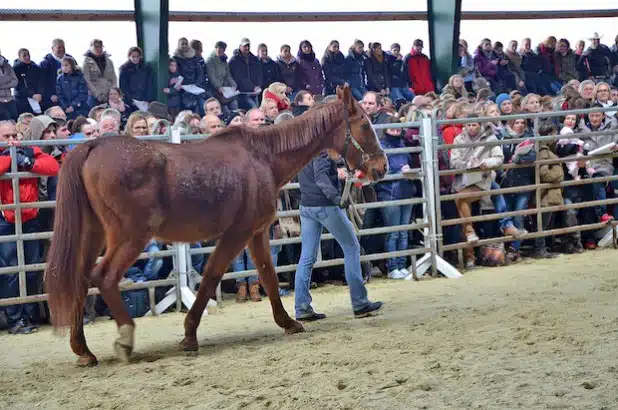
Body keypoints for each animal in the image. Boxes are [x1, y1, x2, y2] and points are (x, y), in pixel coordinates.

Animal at [44, 85, 384, 366]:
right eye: (365, 124)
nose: (381, 166)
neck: (263, 158)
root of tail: (93, 147)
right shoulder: (237, 233)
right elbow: (211, 277)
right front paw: (189, 335)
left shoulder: (256, 233)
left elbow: (268, 276)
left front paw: (288, 322)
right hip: (129, 236)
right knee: (104, 277)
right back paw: (125, 339)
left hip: (93, 235)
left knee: (79, 280)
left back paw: (84, 351)